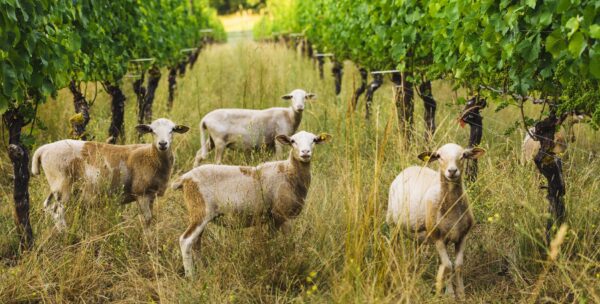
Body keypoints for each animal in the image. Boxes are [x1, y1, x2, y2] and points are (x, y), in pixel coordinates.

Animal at [30, 117, 189, 229]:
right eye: (152, 130)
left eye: (172, 130)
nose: (163, 144)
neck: (151, 156)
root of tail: (44, 149)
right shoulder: (141, 193)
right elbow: (147, 220)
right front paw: (148, 243)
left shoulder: (151, 195)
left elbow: (151, 219)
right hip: (62, 184)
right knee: (58, 212)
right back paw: (65, 233)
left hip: (55, 185)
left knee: (48, 206)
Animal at [173, 129, 332, 276]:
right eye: (293, 141)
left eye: (314, 140)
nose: (305, 153)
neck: (289, 172)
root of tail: (185, 179)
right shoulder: (283, 214)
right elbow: (290, 242)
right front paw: (291, 261)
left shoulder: (272, 218)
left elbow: (270, 240)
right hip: (201, 210)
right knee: (186, 241)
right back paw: (191, 276)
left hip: (199, 214)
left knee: (196, 242)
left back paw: (202, 269)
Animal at [386, 143, 486, 300]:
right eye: (439, 156)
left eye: (463, 155)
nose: (452, 171)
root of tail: (409, 168)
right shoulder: (438, 238)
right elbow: (448, 266)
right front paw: (449, 294)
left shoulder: (462, 236)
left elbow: (457, 265)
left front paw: (461, 293)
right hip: (393, 224)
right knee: (392, 247)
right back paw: (393, 270)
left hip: (418, 234)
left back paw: (417, 270)